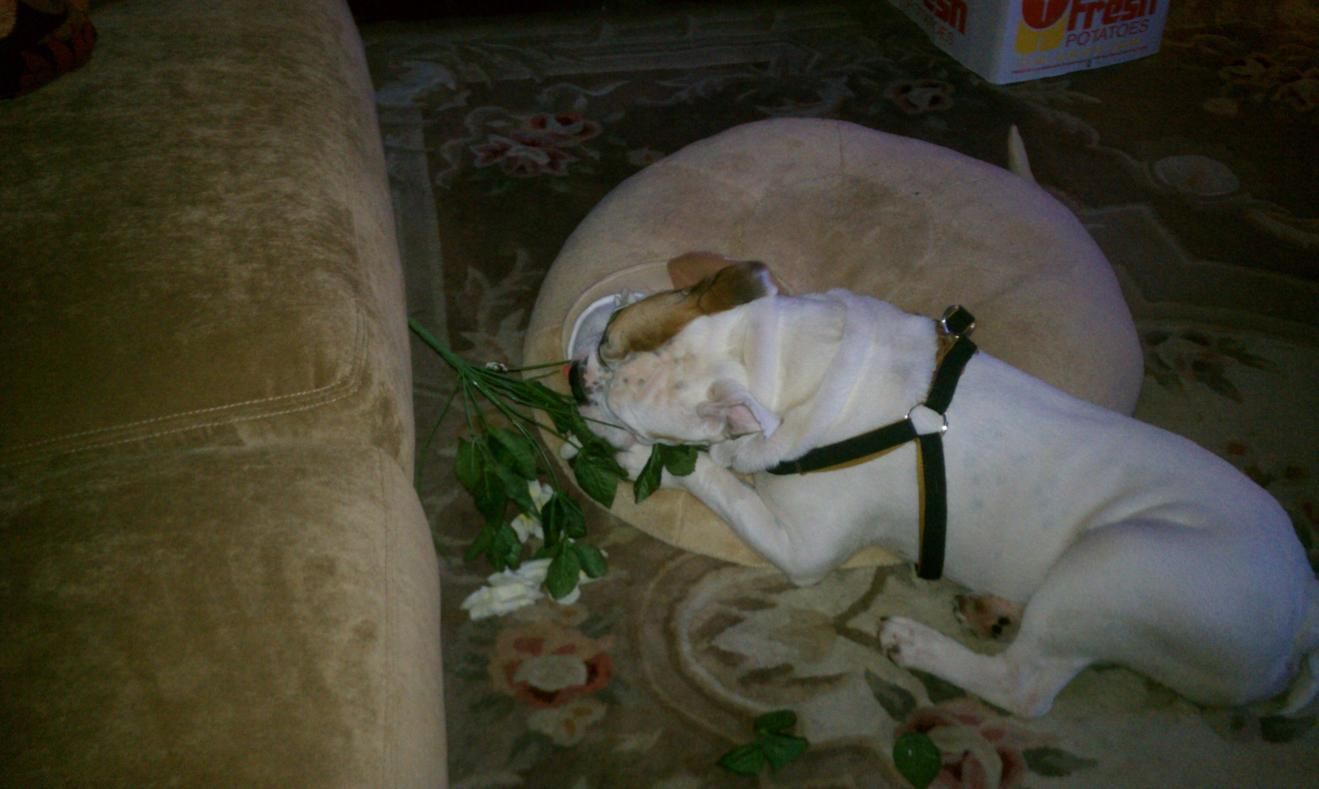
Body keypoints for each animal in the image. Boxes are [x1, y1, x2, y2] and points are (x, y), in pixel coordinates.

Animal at [567, 258, 1319, 718]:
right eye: (606, 342)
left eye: (620, 386)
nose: (576, 378)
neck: (795, 363)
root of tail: (1306, 603)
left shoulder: (801, 547)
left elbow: (712, 475)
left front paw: (636, 452)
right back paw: (993, 608)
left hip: (1112, 561)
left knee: (1024, 687)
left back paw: (919, 644)